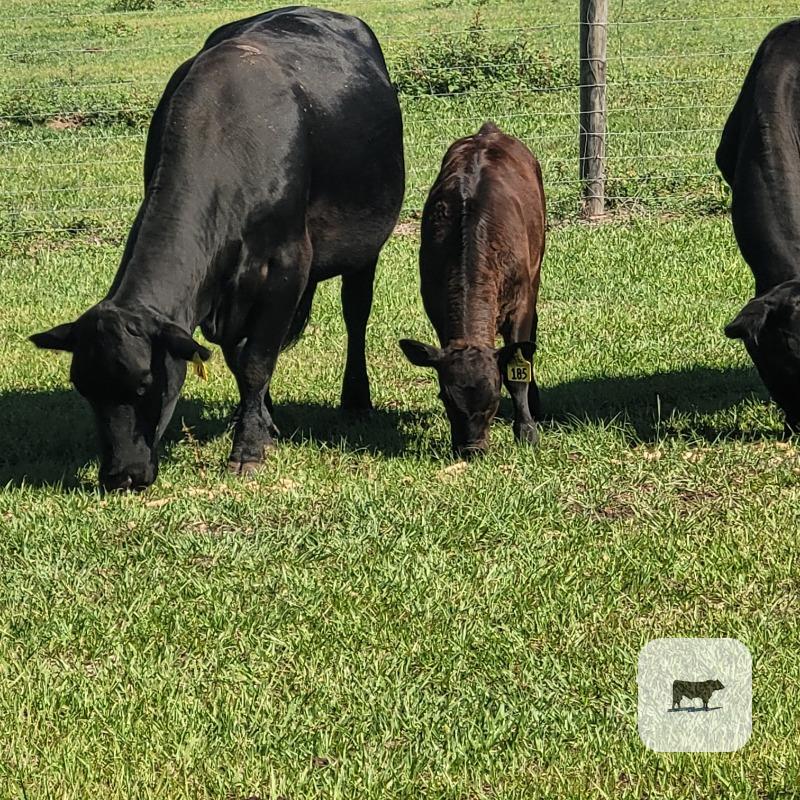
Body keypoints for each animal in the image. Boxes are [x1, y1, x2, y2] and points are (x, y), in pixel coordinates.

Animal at [30, 7, 405, 491]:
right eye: (84, 388)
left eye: (145, 384)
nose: (121, 476)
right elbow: (238, 358)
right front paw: (261, 421)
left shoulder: (288, 266)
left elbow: (257, 360)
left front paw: (248, 449)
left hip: (366, 244)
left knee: (356, 313)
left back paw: (356, 399)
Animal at [399, 122, 545, 458]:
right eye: (446, 398)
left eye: (493, 400)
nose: (472, 450)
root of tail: (488, 131)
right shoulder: (435, 306)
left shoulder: (521, 303)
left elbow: (517, 370)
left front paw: (526, 431)